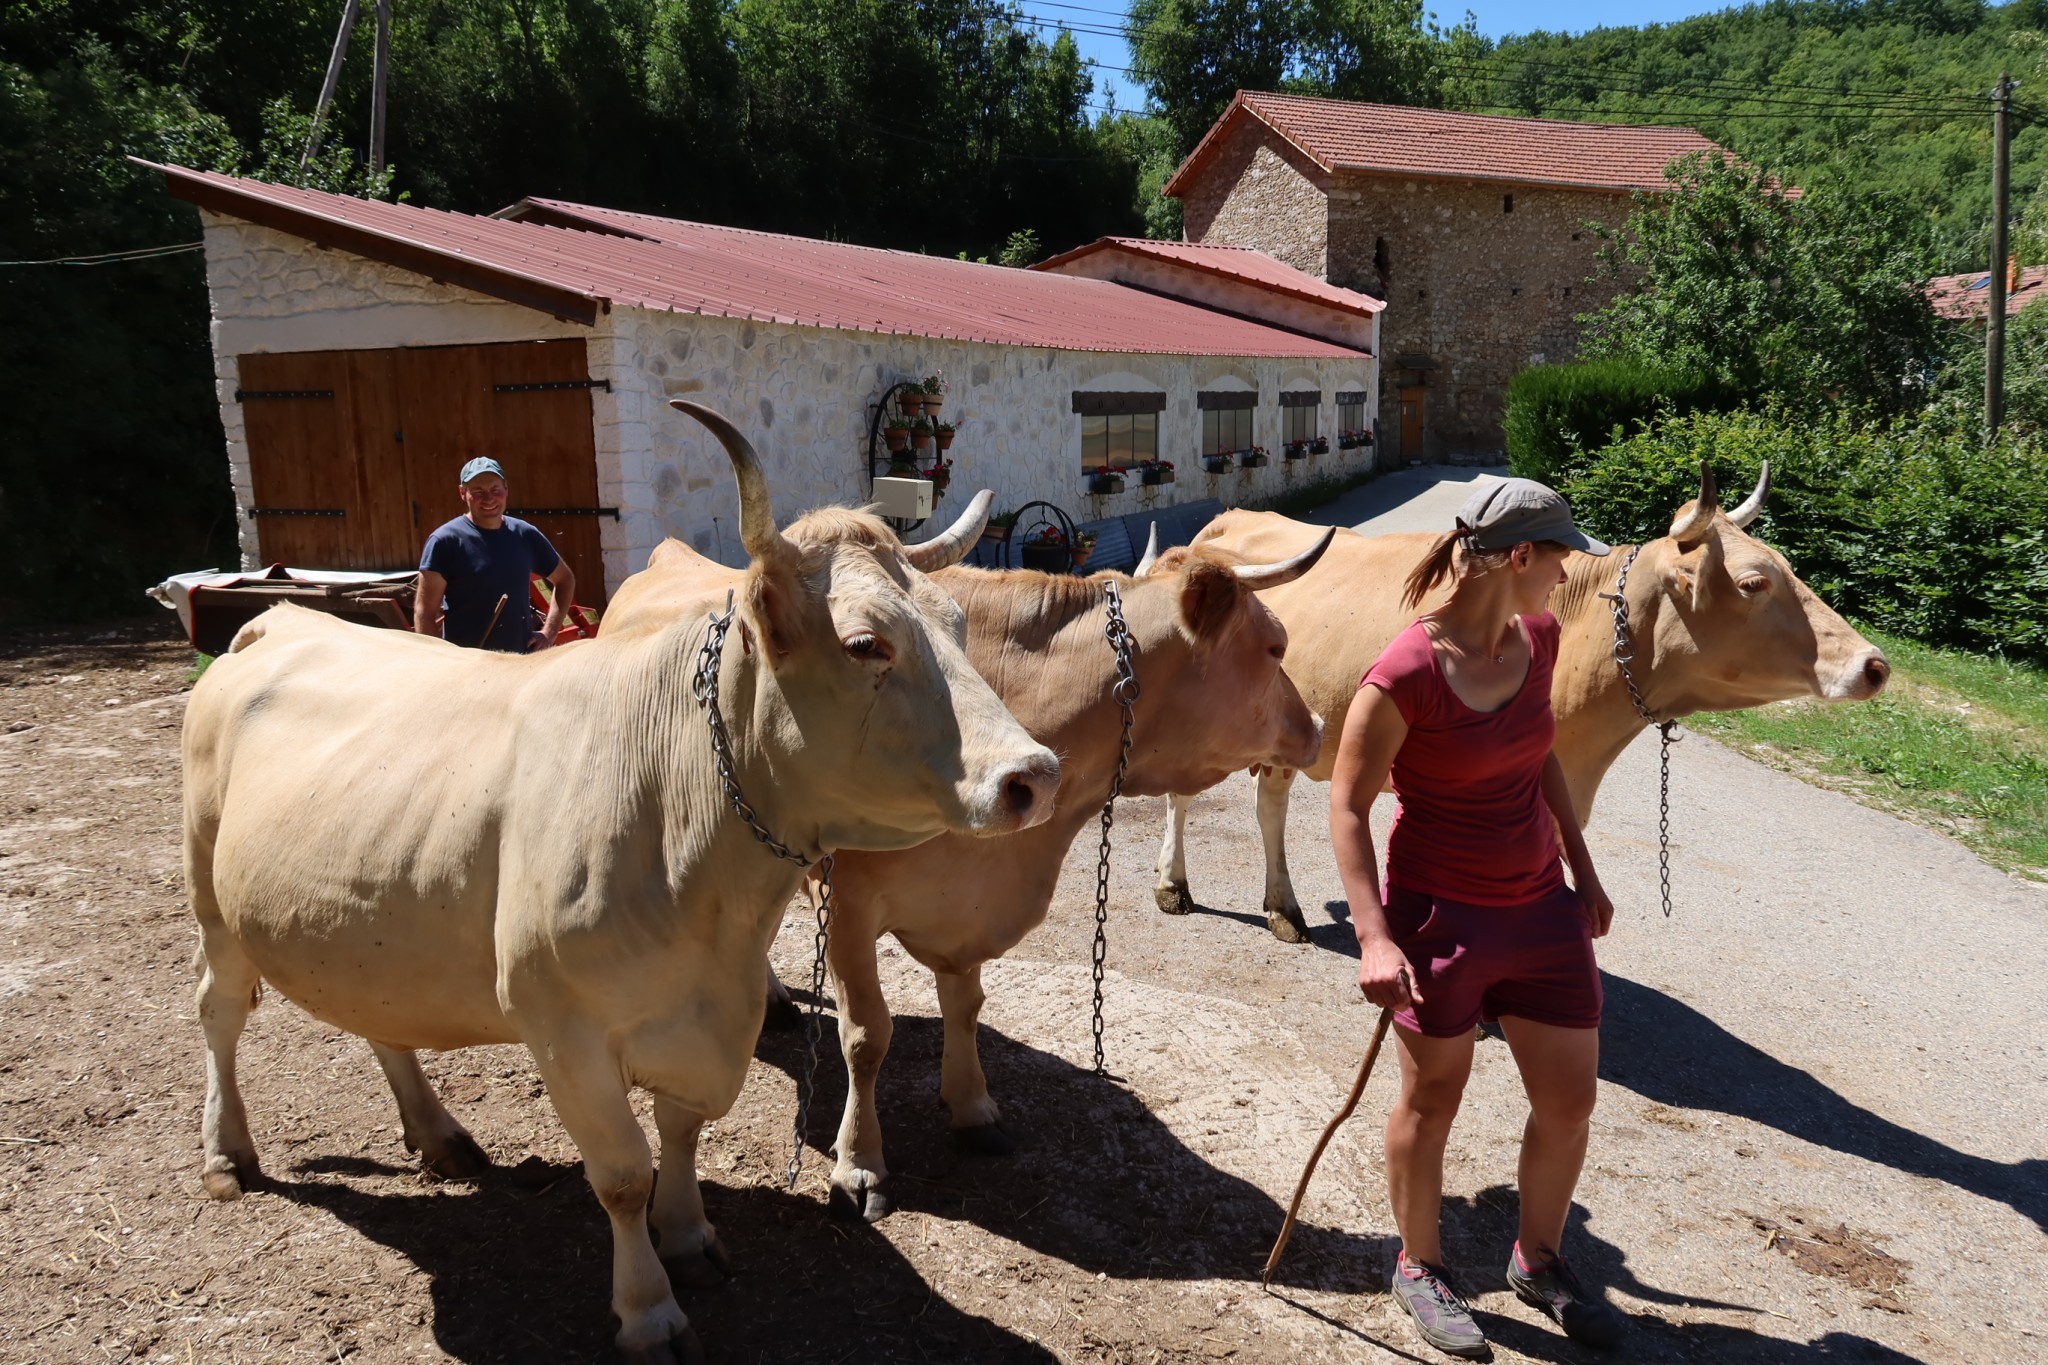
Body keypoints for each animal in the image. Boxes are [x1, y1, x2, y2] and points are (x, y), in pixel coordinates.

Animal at [184, 403, 1064, 1365]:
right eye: (866, 642)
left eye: (958, 622)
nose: (1033, 774)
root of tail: (276, 621)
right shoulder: (560, 1026)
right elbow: (620, 1174)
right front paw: (648, 1309)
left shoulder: (712, 1014)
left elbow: (680, 1132)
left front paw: (688, 1236)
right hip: (209, 895)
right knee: (218, 1010)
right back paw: (227, 1152)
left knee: (383, 1020)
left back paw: (440, 1136)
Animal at [1163, 466, 1892, 941]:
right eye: (1753, 582)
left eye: (1788, 566)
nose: (1874, 664)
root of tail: (1217, 531)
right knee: (1183, 796)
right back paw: (1176, 885)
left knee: (1269, 801)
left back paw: (1282, 907)